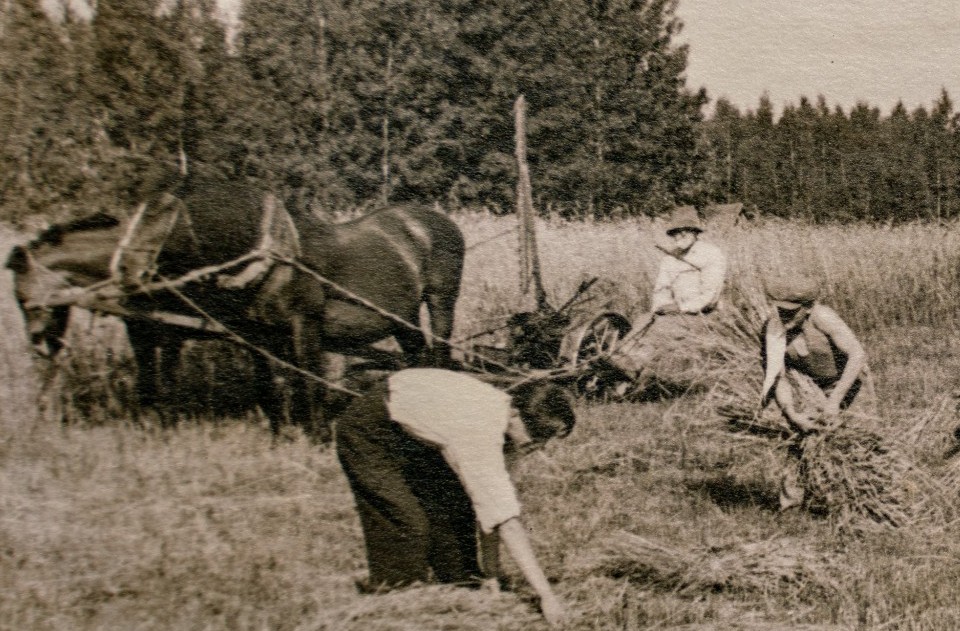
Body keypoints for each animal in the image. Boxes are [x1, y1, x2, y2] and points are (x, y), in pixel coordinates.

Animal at [7, 178, 464, 436]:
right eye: (21, 300)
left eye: (161, 225)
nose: (38, 342)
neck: (268, 259)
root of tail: (432, 219)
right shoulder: (250, 333)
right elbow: (264, 383)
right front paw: (280, 430)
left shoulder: (303, 326)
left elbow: (309, 383)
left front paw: (316, 434)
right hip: (402, 316)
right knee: (417, 354)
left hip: (441, 301)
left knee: (441, 352)